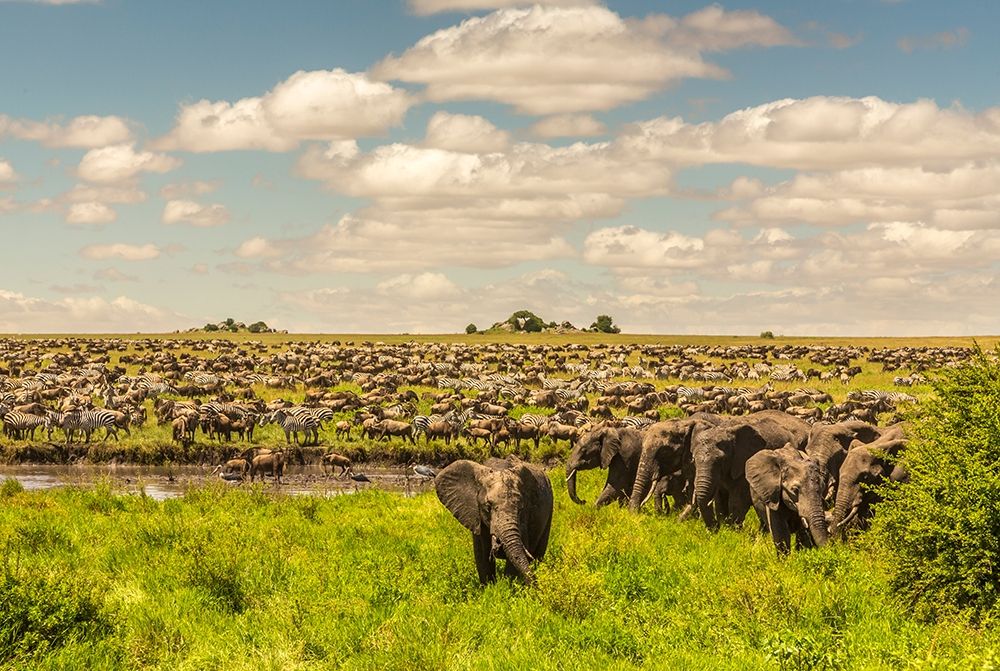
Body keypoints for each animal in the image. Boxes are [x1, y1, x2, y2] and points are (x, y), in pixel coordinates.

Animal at [434, 456, 552, 588]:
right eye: (488, 506)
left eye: (521, 508)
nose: (535, 586)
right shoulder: (477, 517)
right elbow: (482, 555)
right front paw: (490, 589)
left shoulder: (525, 519)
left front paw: (507, 587)